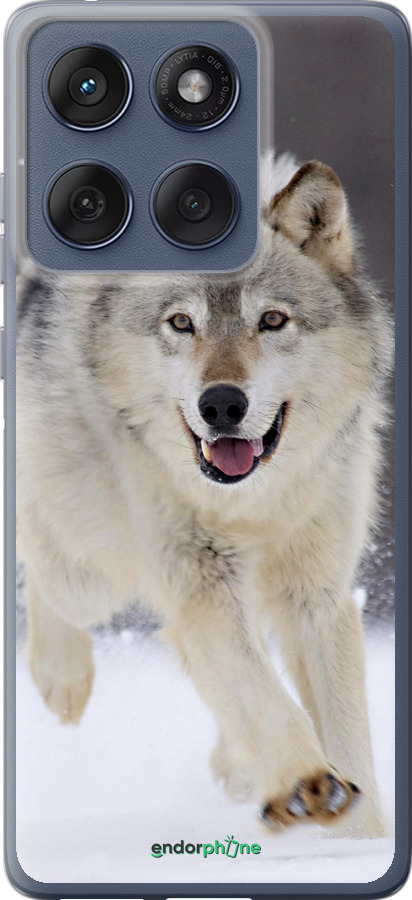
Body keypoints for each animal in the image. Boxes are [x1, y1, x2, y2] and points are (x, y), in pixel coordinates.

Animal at [17, 154, 392, 837]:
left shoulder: (316, 593)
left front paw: (361, 839)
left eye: (271, 320)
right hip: (91, 571)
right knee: (43, 564)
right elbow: (263, 695)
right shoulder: (199, 580)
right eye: (181, 323)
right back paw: (63, 678)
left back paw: (238, 766)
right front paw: (306, 783)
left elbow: (346, 732)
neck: (253, 503)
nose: (221, 404)